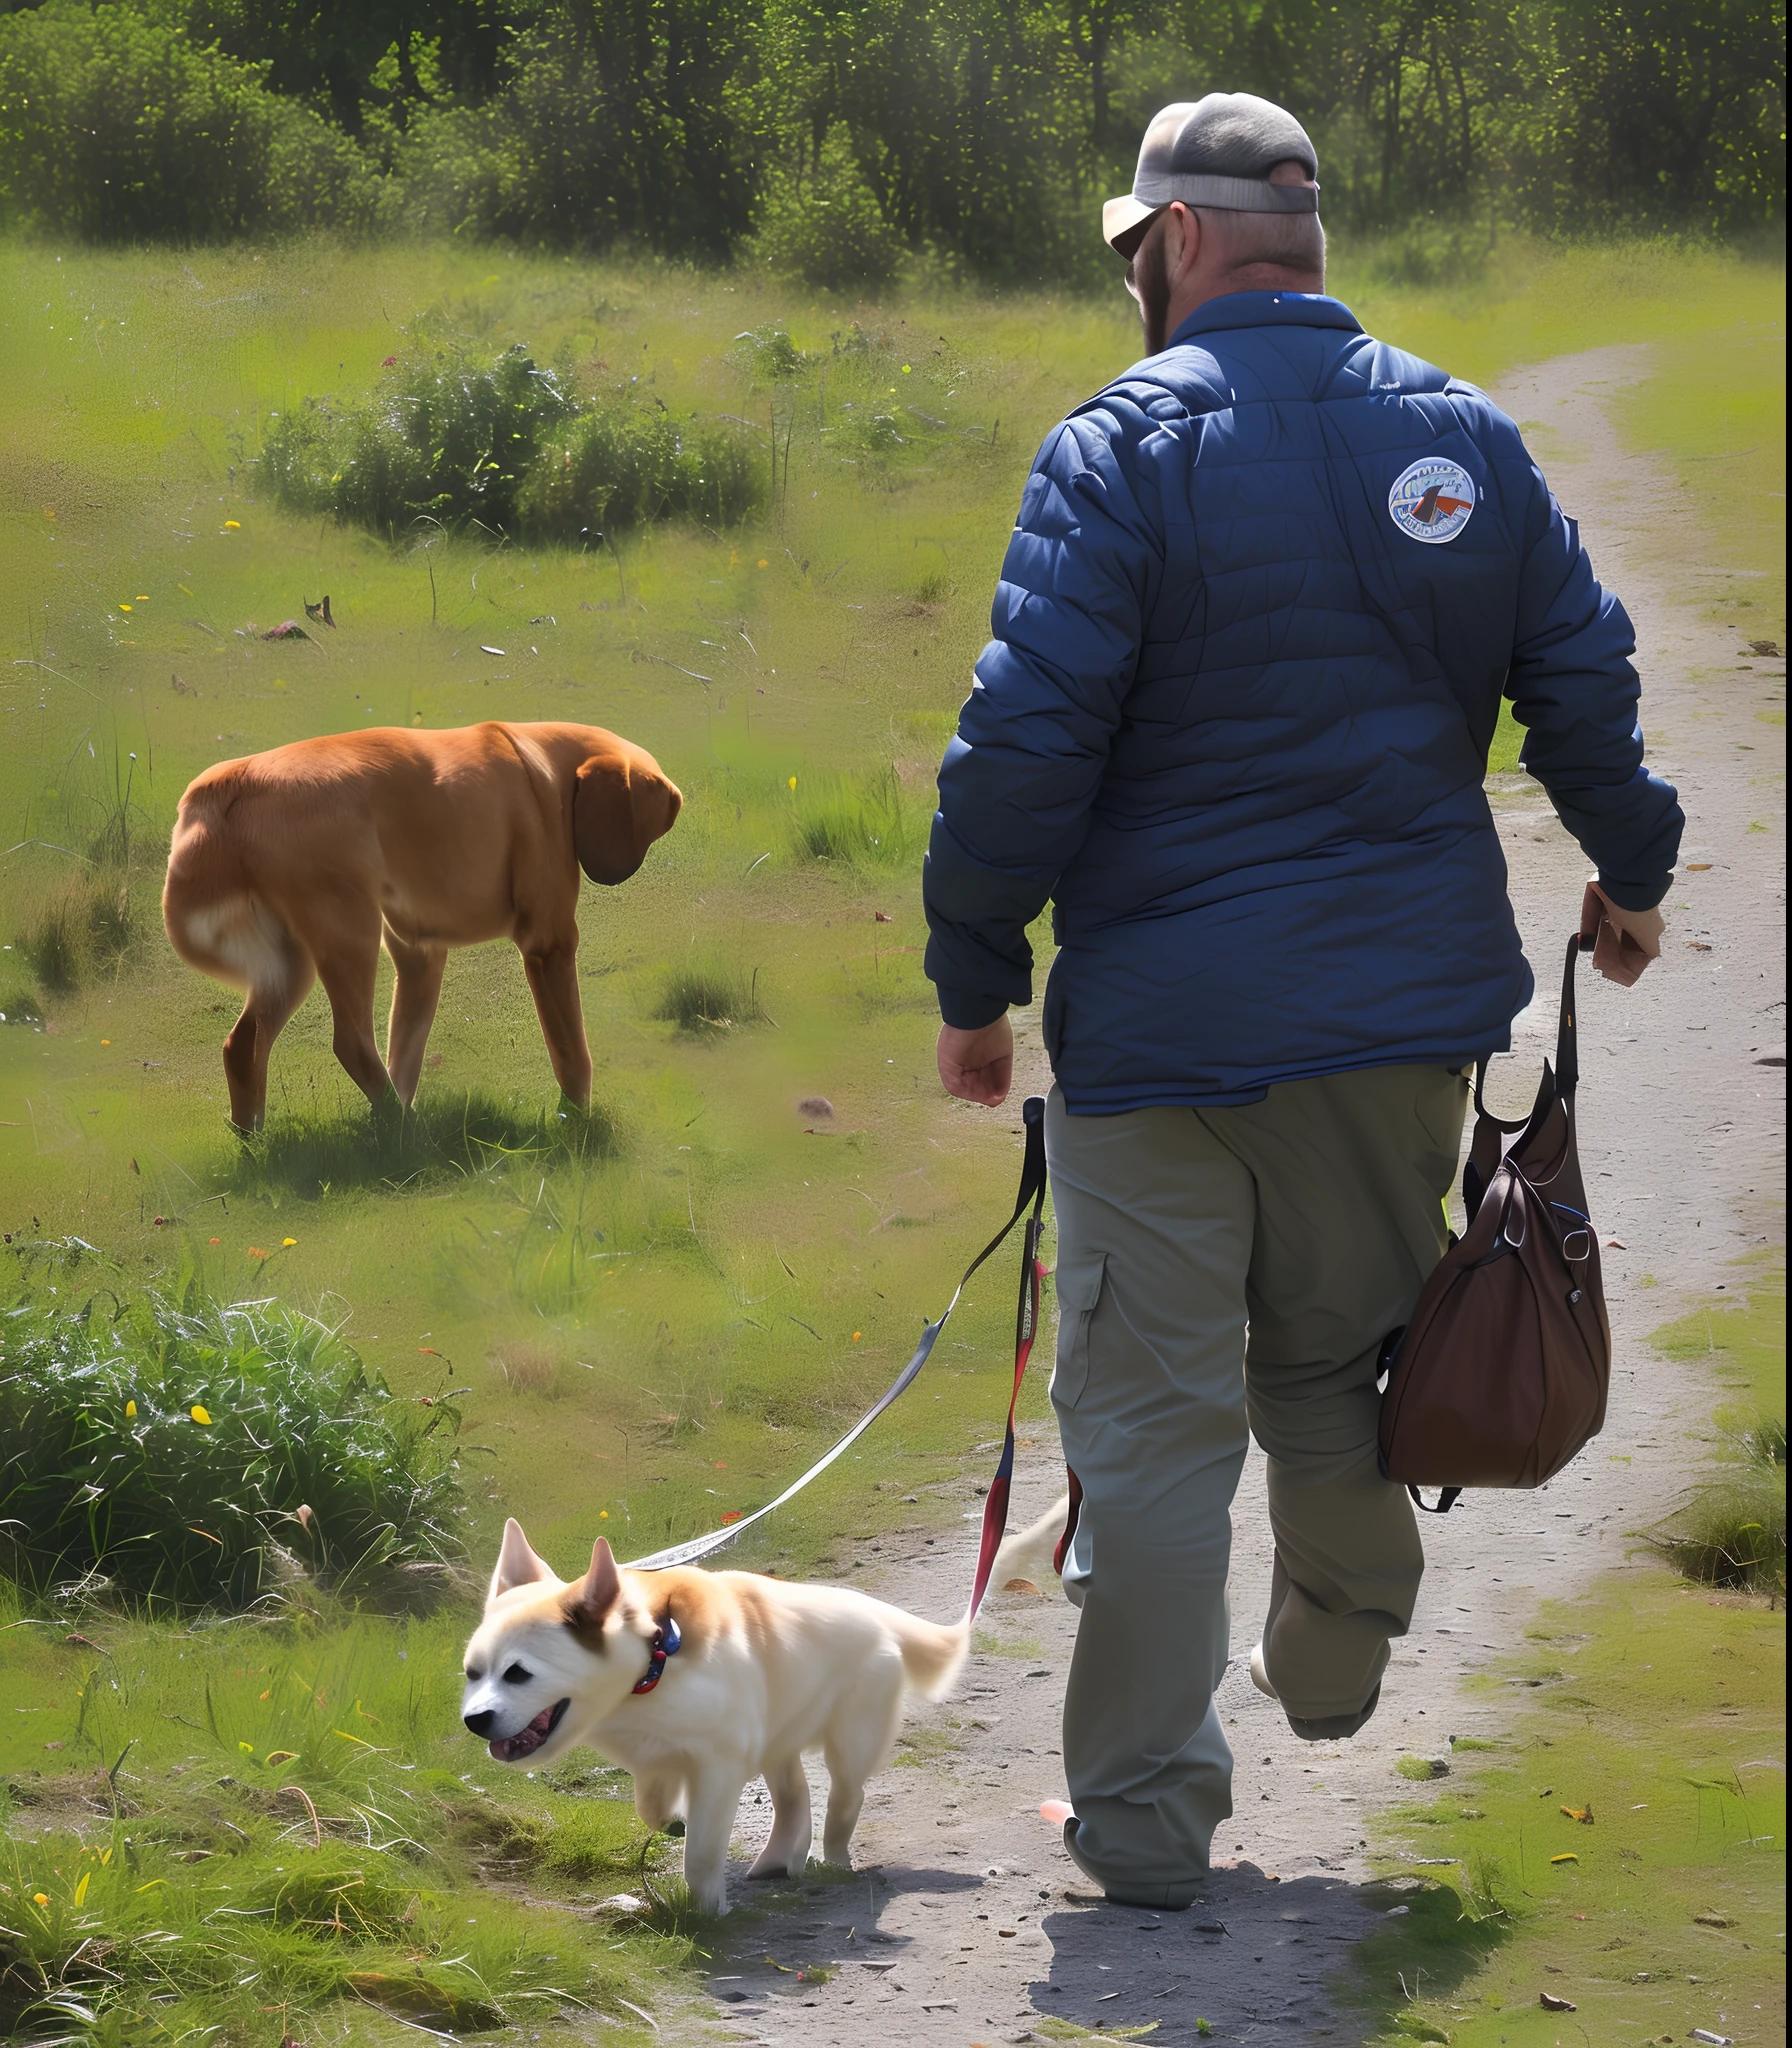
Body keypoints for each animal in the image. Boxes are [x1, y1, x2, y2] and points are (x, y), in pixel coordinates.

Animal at [164, 724, 684, 1138]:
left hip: (291, 964)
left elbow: (406, 1054)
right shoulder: (550, 945)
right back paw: (404, 1129)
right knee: (350, 1042)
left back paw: (262, 1139)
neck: (546, 767)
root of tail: (234, 777)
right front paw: (577, 1120)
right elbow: (572, 1054)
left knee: (243, 1046)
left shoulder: (420, 954)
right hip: (348, 934)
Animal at [454, 1523, 974, 1916]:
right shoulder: (656, 1759)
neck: (652, 1664)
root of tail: (877, 1614)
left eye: (518, 1673)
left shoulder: (719, 1769)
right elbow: (651, 1805)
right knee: (795, 1795)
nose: (474, 1721)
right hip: (777, 1742)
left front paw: (707, 1910)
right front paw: (671, 1818)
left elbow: (702, 1851)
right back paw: (780, 1858)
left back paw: (834, 1859)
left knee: (846, 1797)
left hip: (849, 1745)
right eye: (472, 1673)